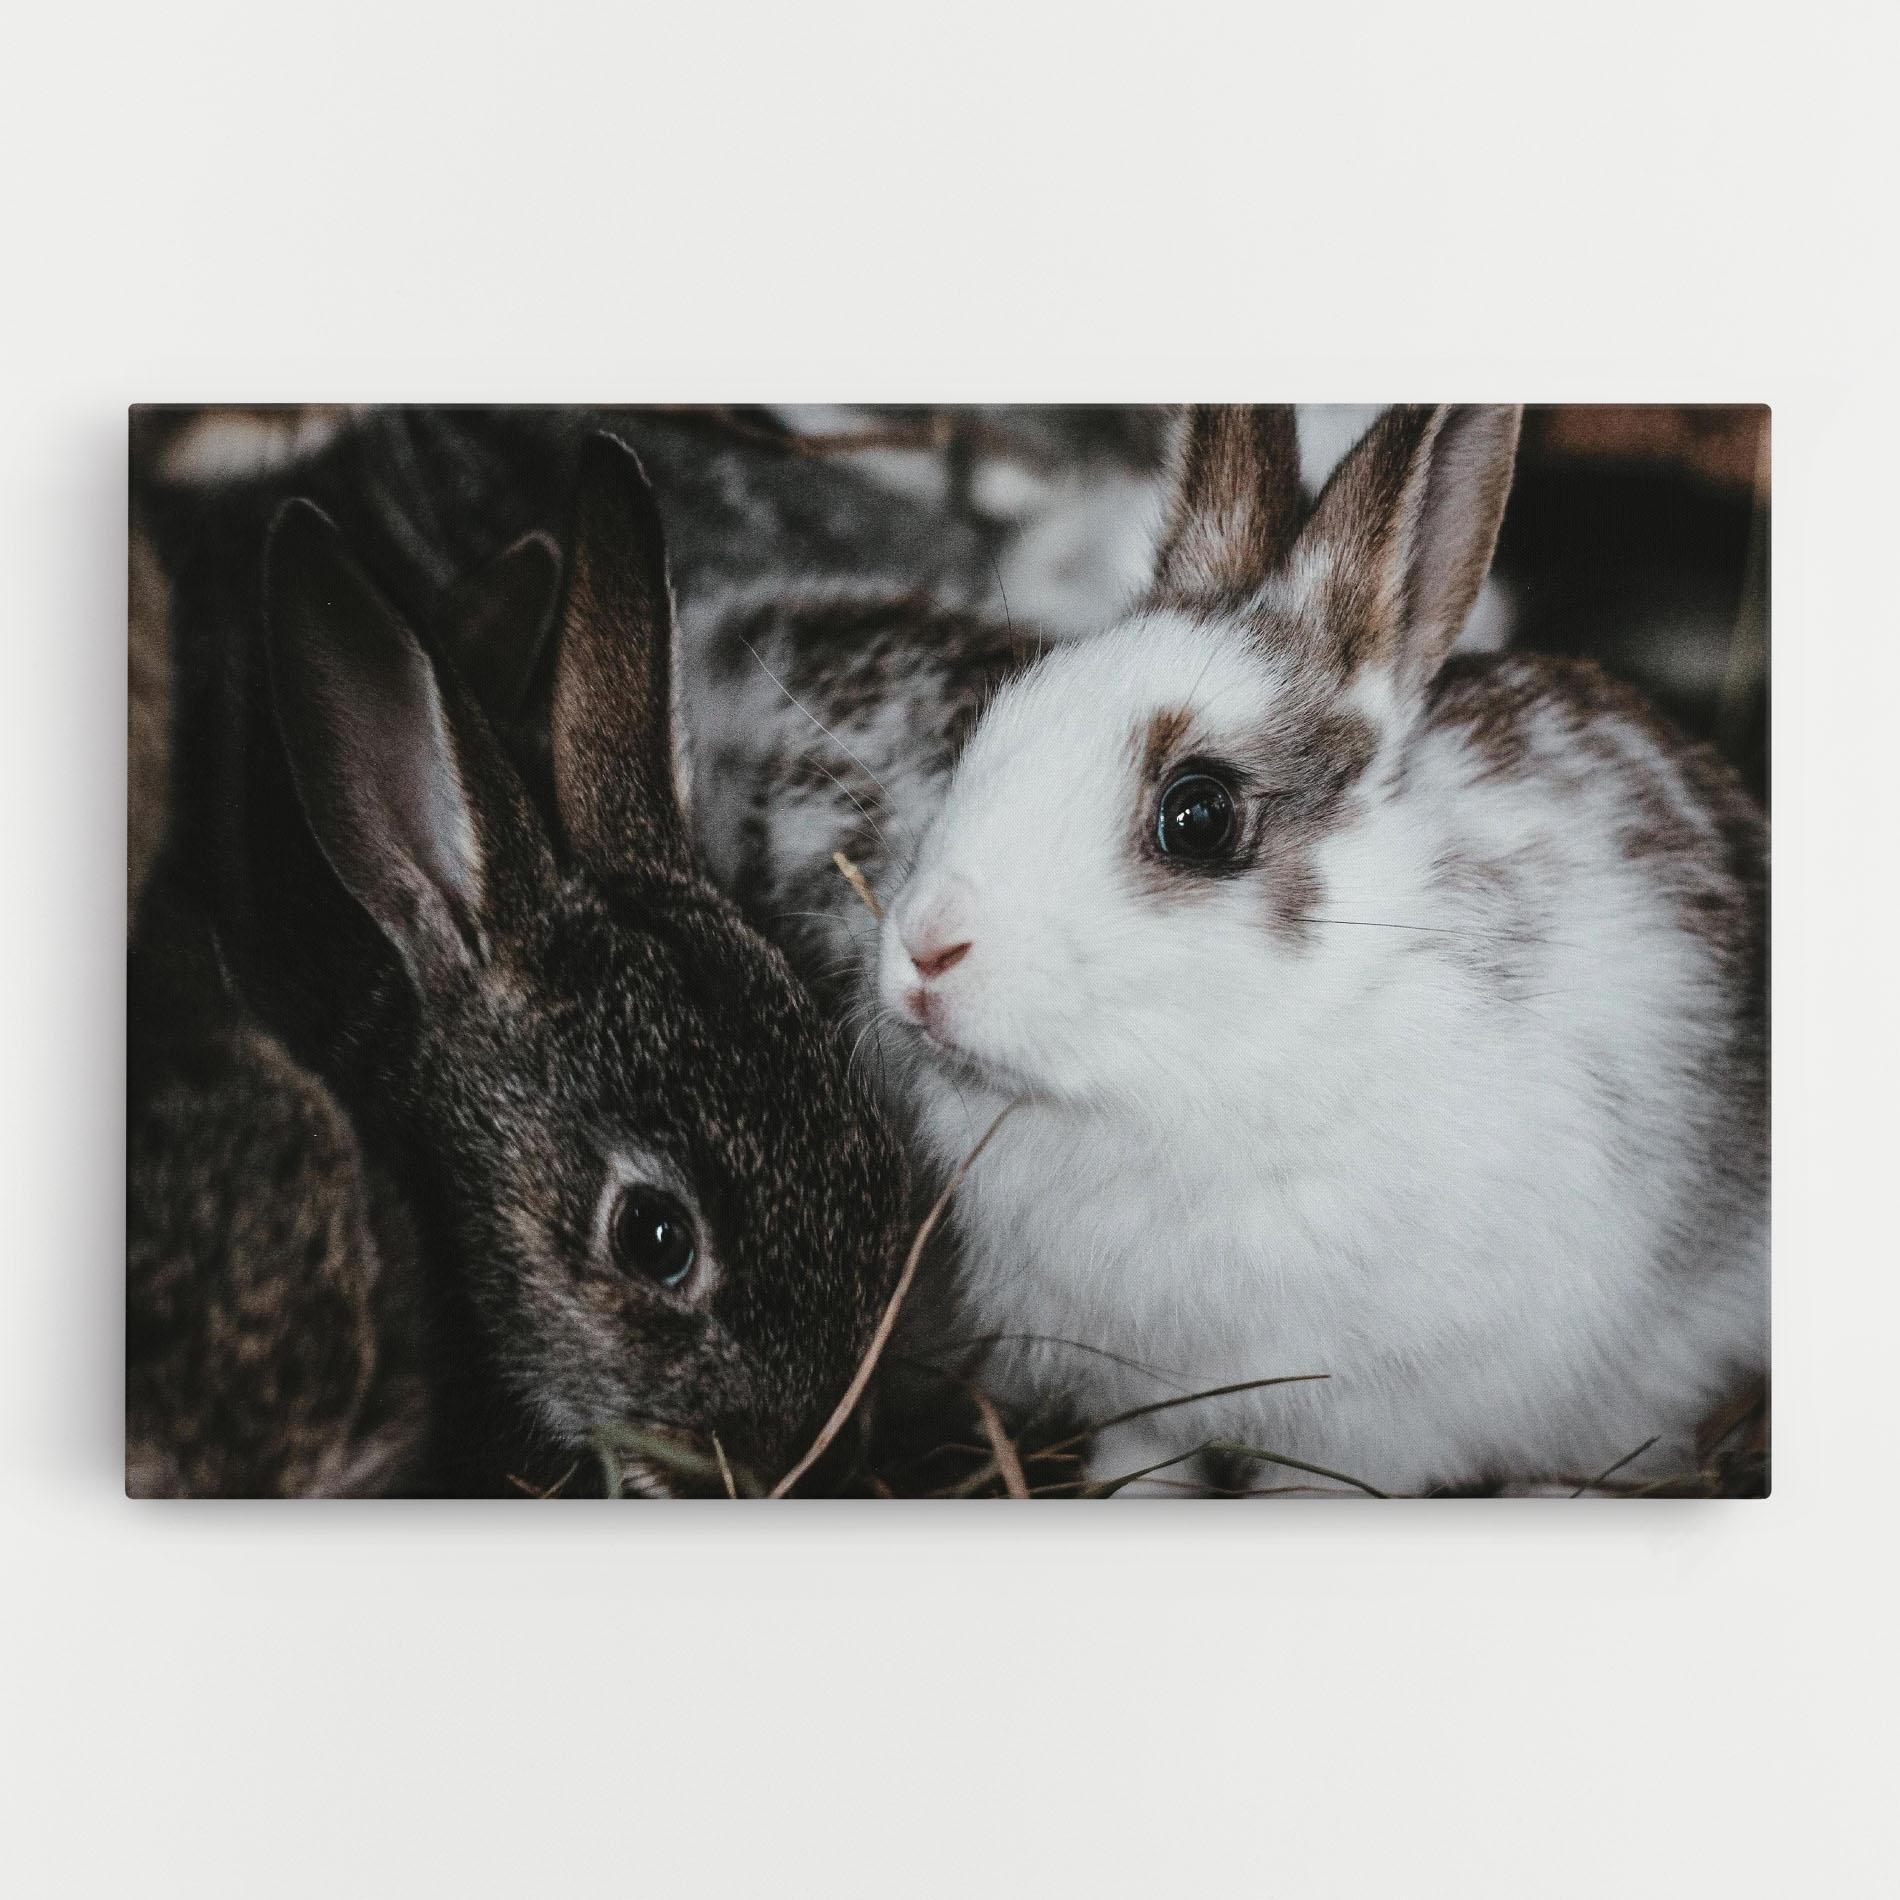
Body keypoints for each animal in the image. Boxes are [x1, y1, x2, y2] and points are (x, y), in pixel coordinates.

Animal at [685, 404, 1767, 1495]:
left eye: (1198, 815)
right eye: (994, 721)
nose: (925, 951)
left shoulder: (1364, 1422)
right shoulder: (1139, 1385)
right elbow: (1145, 1457)